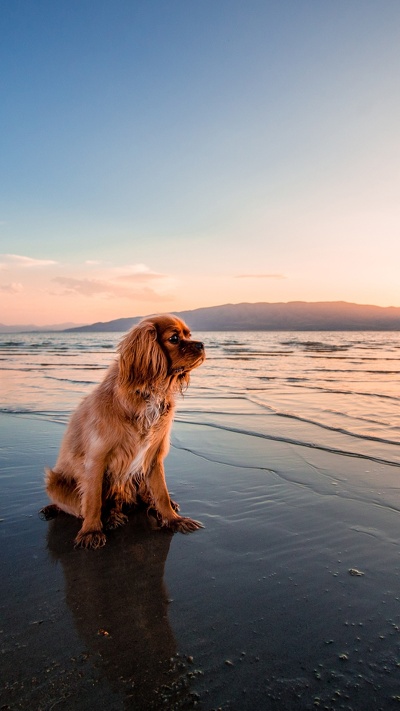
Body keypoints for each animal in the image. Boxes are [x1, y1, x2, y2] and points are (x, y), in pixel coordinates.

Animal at [39, 316, 206, 552]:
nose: (202, 345)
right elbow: (93, 500)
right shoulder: (96, 459)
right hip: (55, 482)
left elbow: (161, 493)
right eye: (174, 338)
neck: (148, 393)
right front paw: (91, 531)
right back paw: (110, 517)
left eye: (189, 335)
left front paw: (173, 519)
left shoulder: (153, 457)